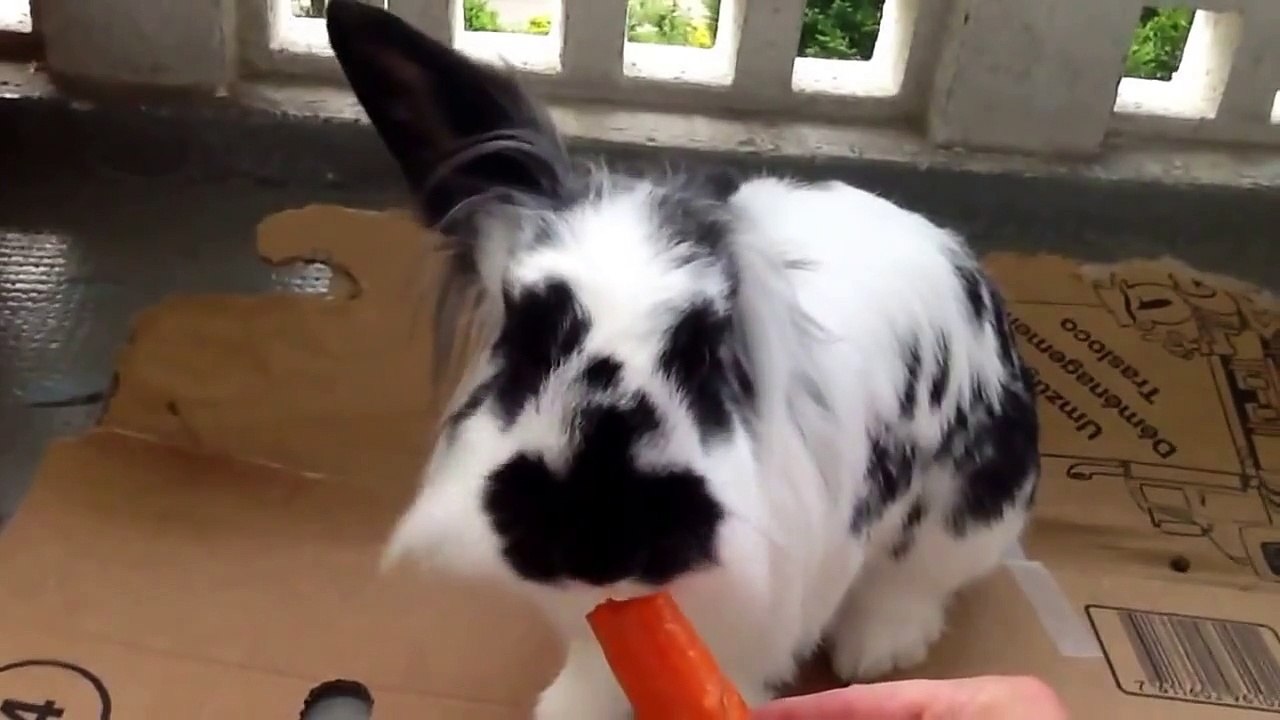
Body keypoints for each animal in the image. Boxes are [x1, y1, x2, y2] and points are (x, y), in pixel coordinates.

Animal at [324, 1, 1040, 716]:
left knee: (919, 581)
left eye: (703, 347)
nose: (593, 536)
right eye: (525, 329)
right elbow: (597, 667)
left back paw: (877, 649)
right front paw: (568, 709)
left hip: (968, 514)